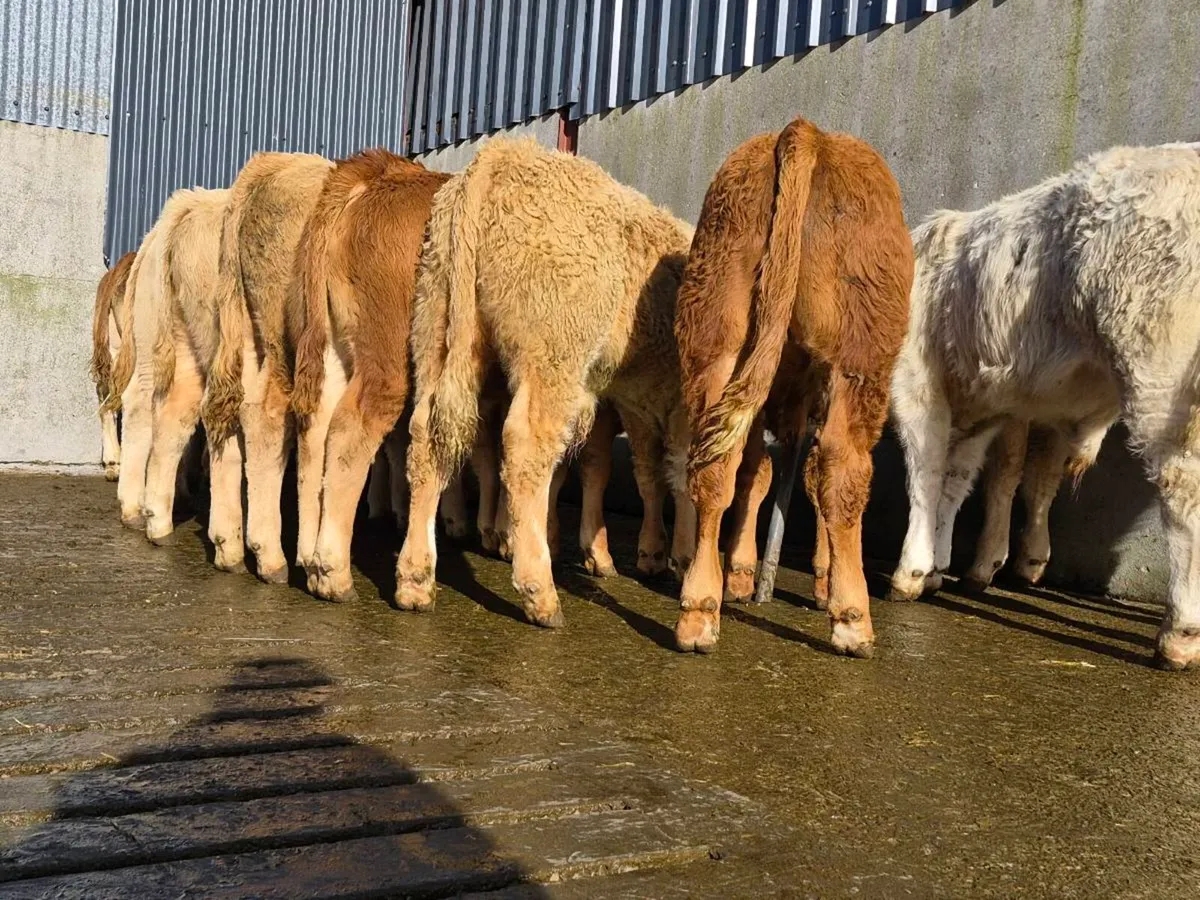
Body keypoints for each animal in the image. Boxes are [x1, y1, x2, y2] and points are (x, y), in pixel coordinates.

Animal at [202, 152, 334, 584]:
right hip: (282, 331)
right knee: (269, 414)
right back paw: (272, 556)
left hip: (244, 323)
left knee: (229, 409)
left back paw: (229, 547)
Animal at [394, 138, 695, 628]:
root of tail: (505, 153)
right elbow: (686, 475)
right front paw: (684, 559)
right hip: (553, 355)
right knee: (525, 448)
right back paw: (539, 589)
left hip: (437, 329)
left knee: (427, 436)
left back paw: (415, 579)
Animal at [673, 117, 914, 658]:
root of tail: (808, 132)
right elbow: (806, 476)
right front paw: (822, 579)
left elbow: (757, 474)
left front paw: (742, 575)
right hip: (859, 355)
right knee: (843, 468)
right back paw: (852, 619)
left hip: (716, 333)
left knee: (716, 465)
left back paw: (699, 610)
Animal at [888, 142, 1200, 670]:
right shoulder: (992, 408)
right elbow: (963, 478)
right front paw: (938, 565)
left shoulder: (918, 380)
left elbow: (927, 471)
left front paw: (913, 570)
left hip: (1160, 379)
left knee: (1183, 487)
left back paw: (1179, 634)